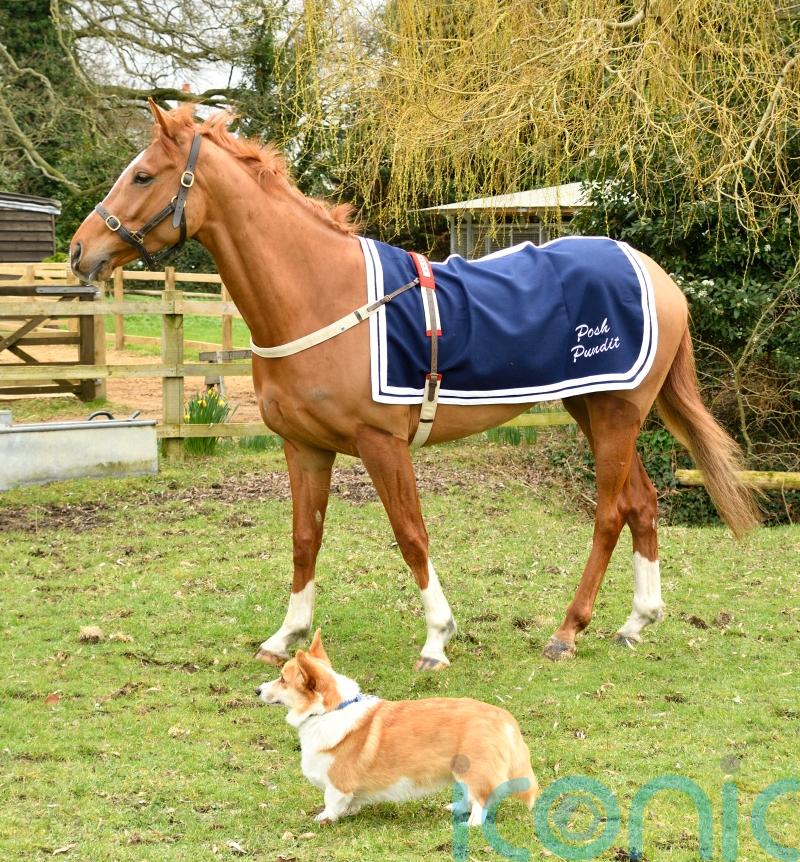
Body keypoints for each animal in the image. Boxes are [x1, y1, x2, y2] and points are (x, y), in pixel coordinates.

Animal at [69, 102, 760, 670]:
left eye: (143, 175)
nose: (79, 251)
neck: (323, 294)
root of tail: (655, 274)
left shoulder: (382, 445)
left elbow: (410, 534)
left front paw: (436, 638)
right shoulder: (305, 448)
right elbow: (304, 540)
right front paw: (285, 637)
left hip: (616, 414)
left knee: (611, 512)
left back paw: (567, 631)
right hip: (592, 408)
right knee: (643, 503)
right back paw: (636, 622)